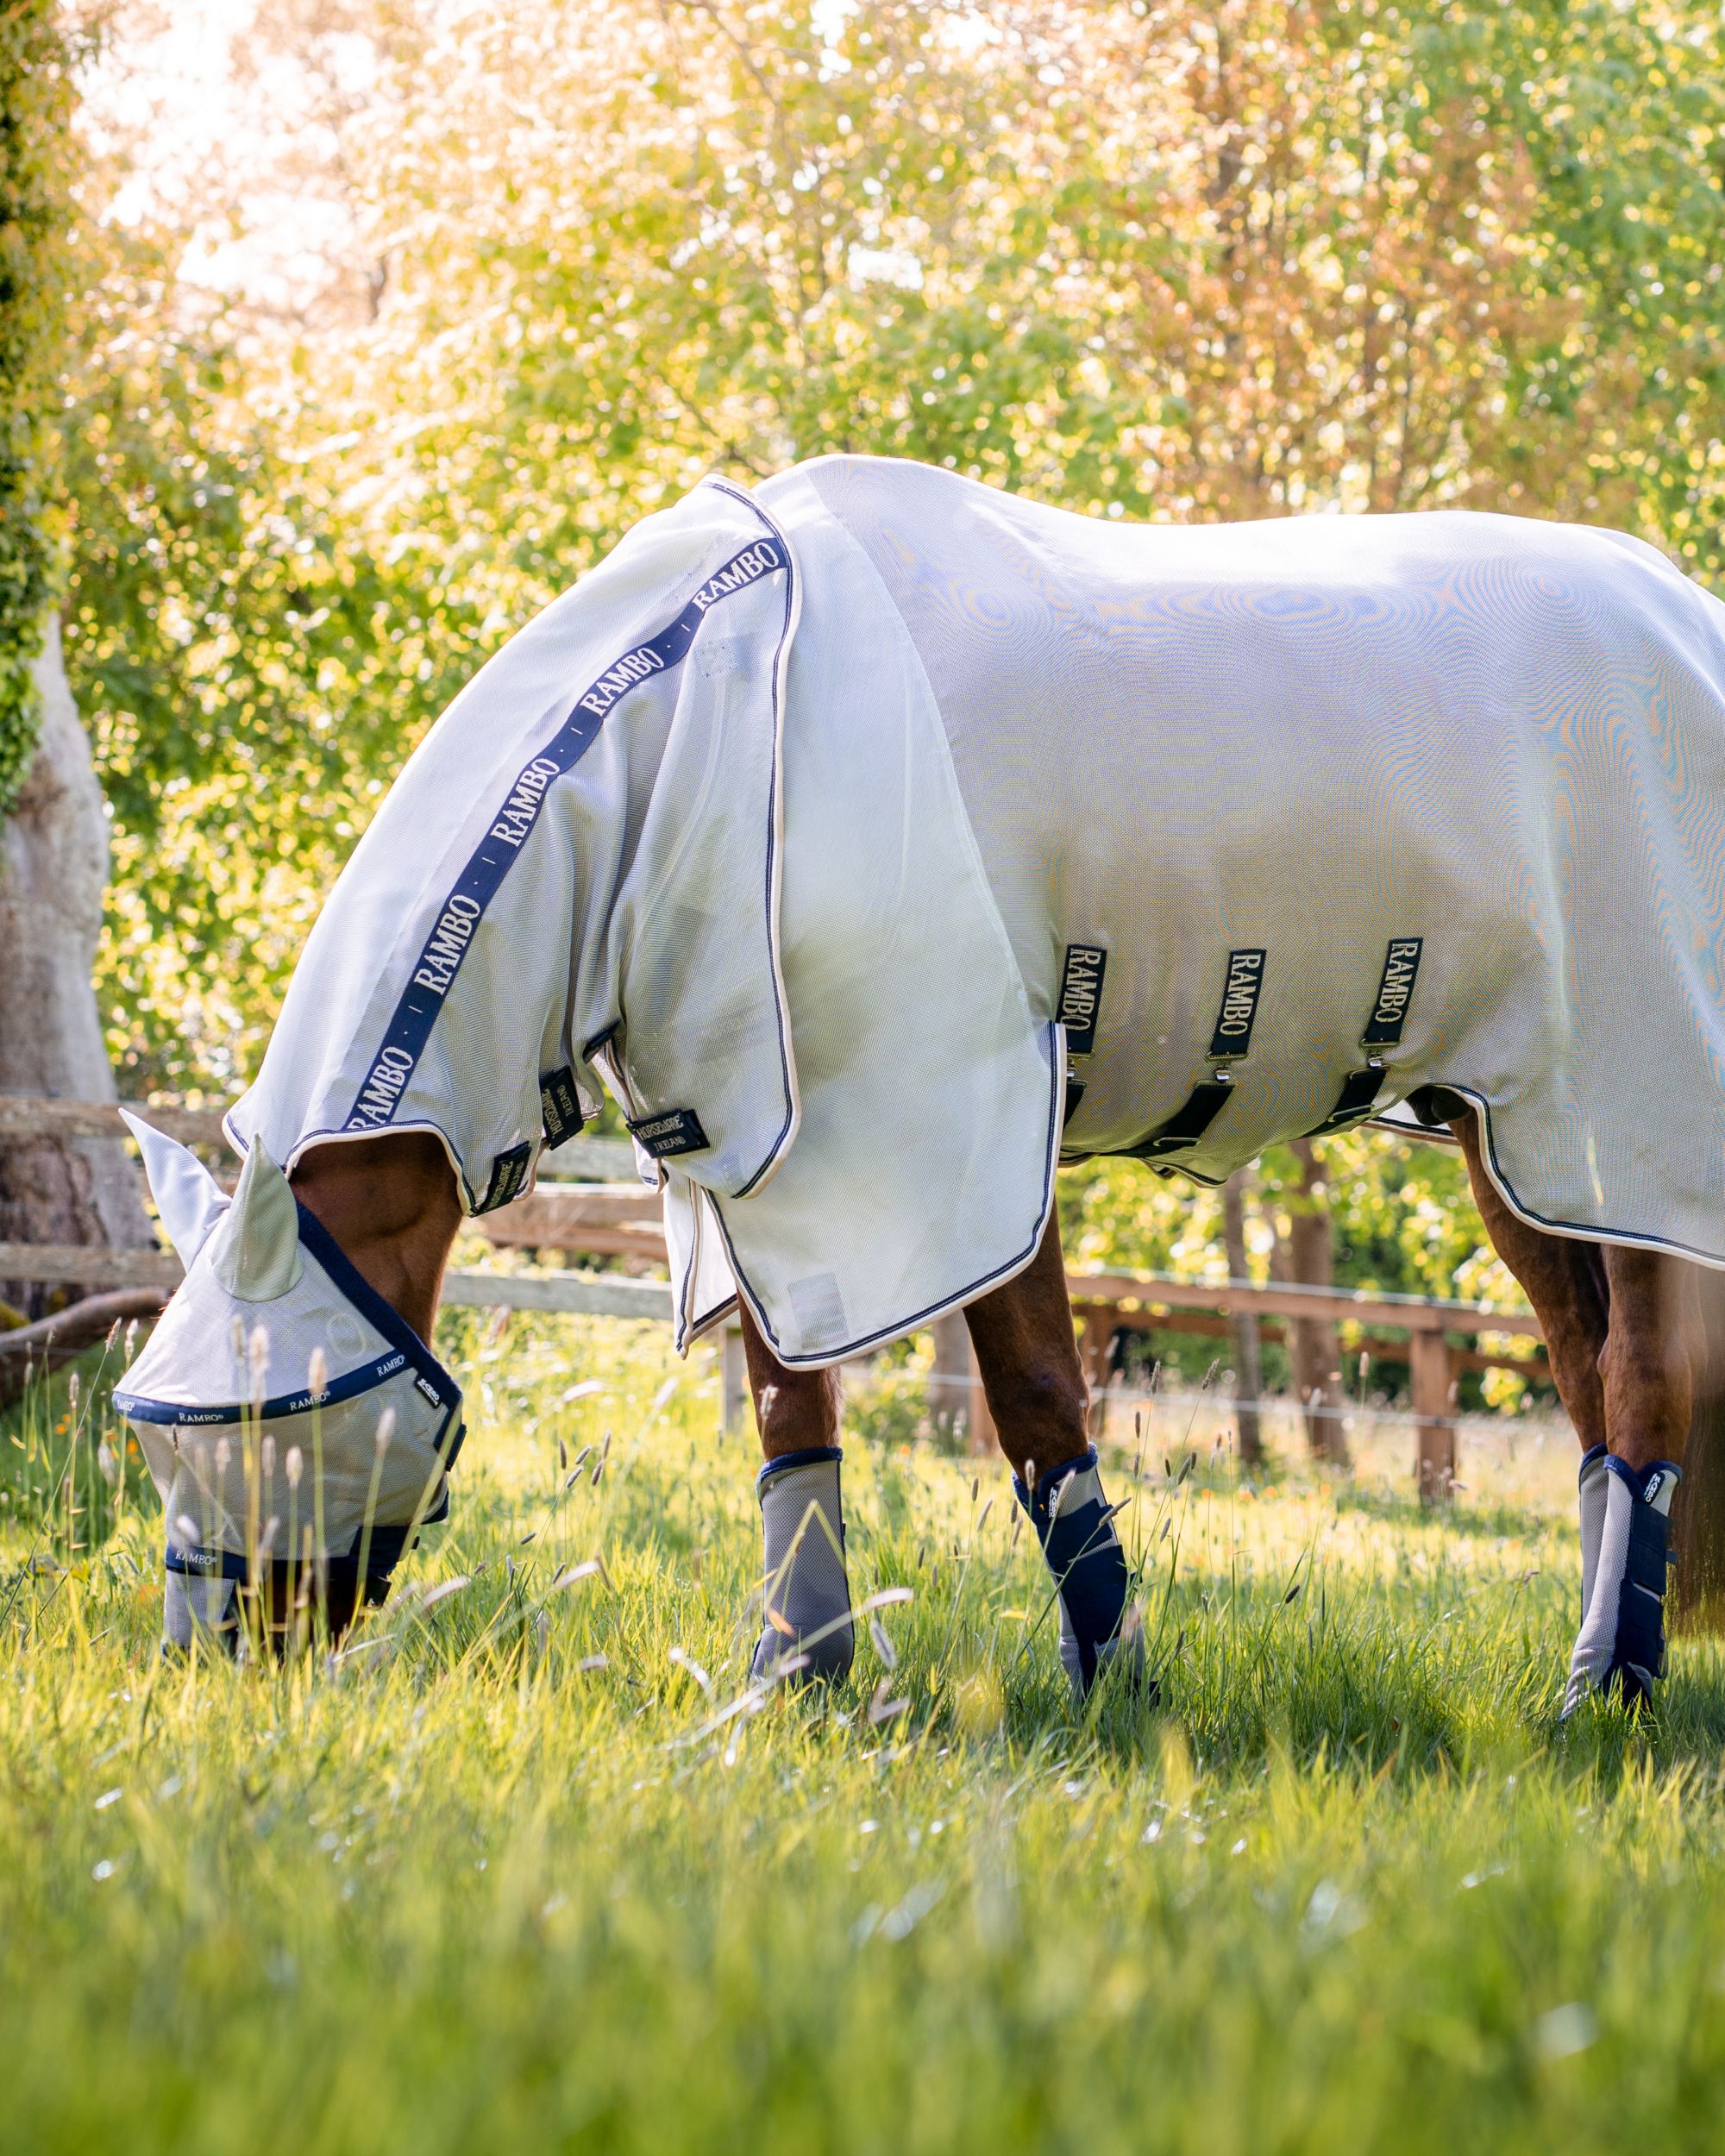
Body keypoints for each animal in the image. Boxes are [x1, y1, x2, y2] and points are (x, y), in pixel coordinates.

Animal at [117, 459, 1725, 1716]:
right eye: (154, 1433)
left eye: (273, 1413)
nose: (211, 1662)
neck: (710, 722)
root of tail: (1685, 614)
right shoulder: (760, 1162)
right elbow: (790, 1413)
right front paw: (796, 1675)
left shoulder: (950, 1128)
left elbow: (1032, 1403)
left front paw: (1113, 1686)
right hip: (1517, 1144)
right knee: (1586, 1382)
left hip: (1627, 1120)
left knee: (1642, 1382)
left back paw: (1605, 1695)